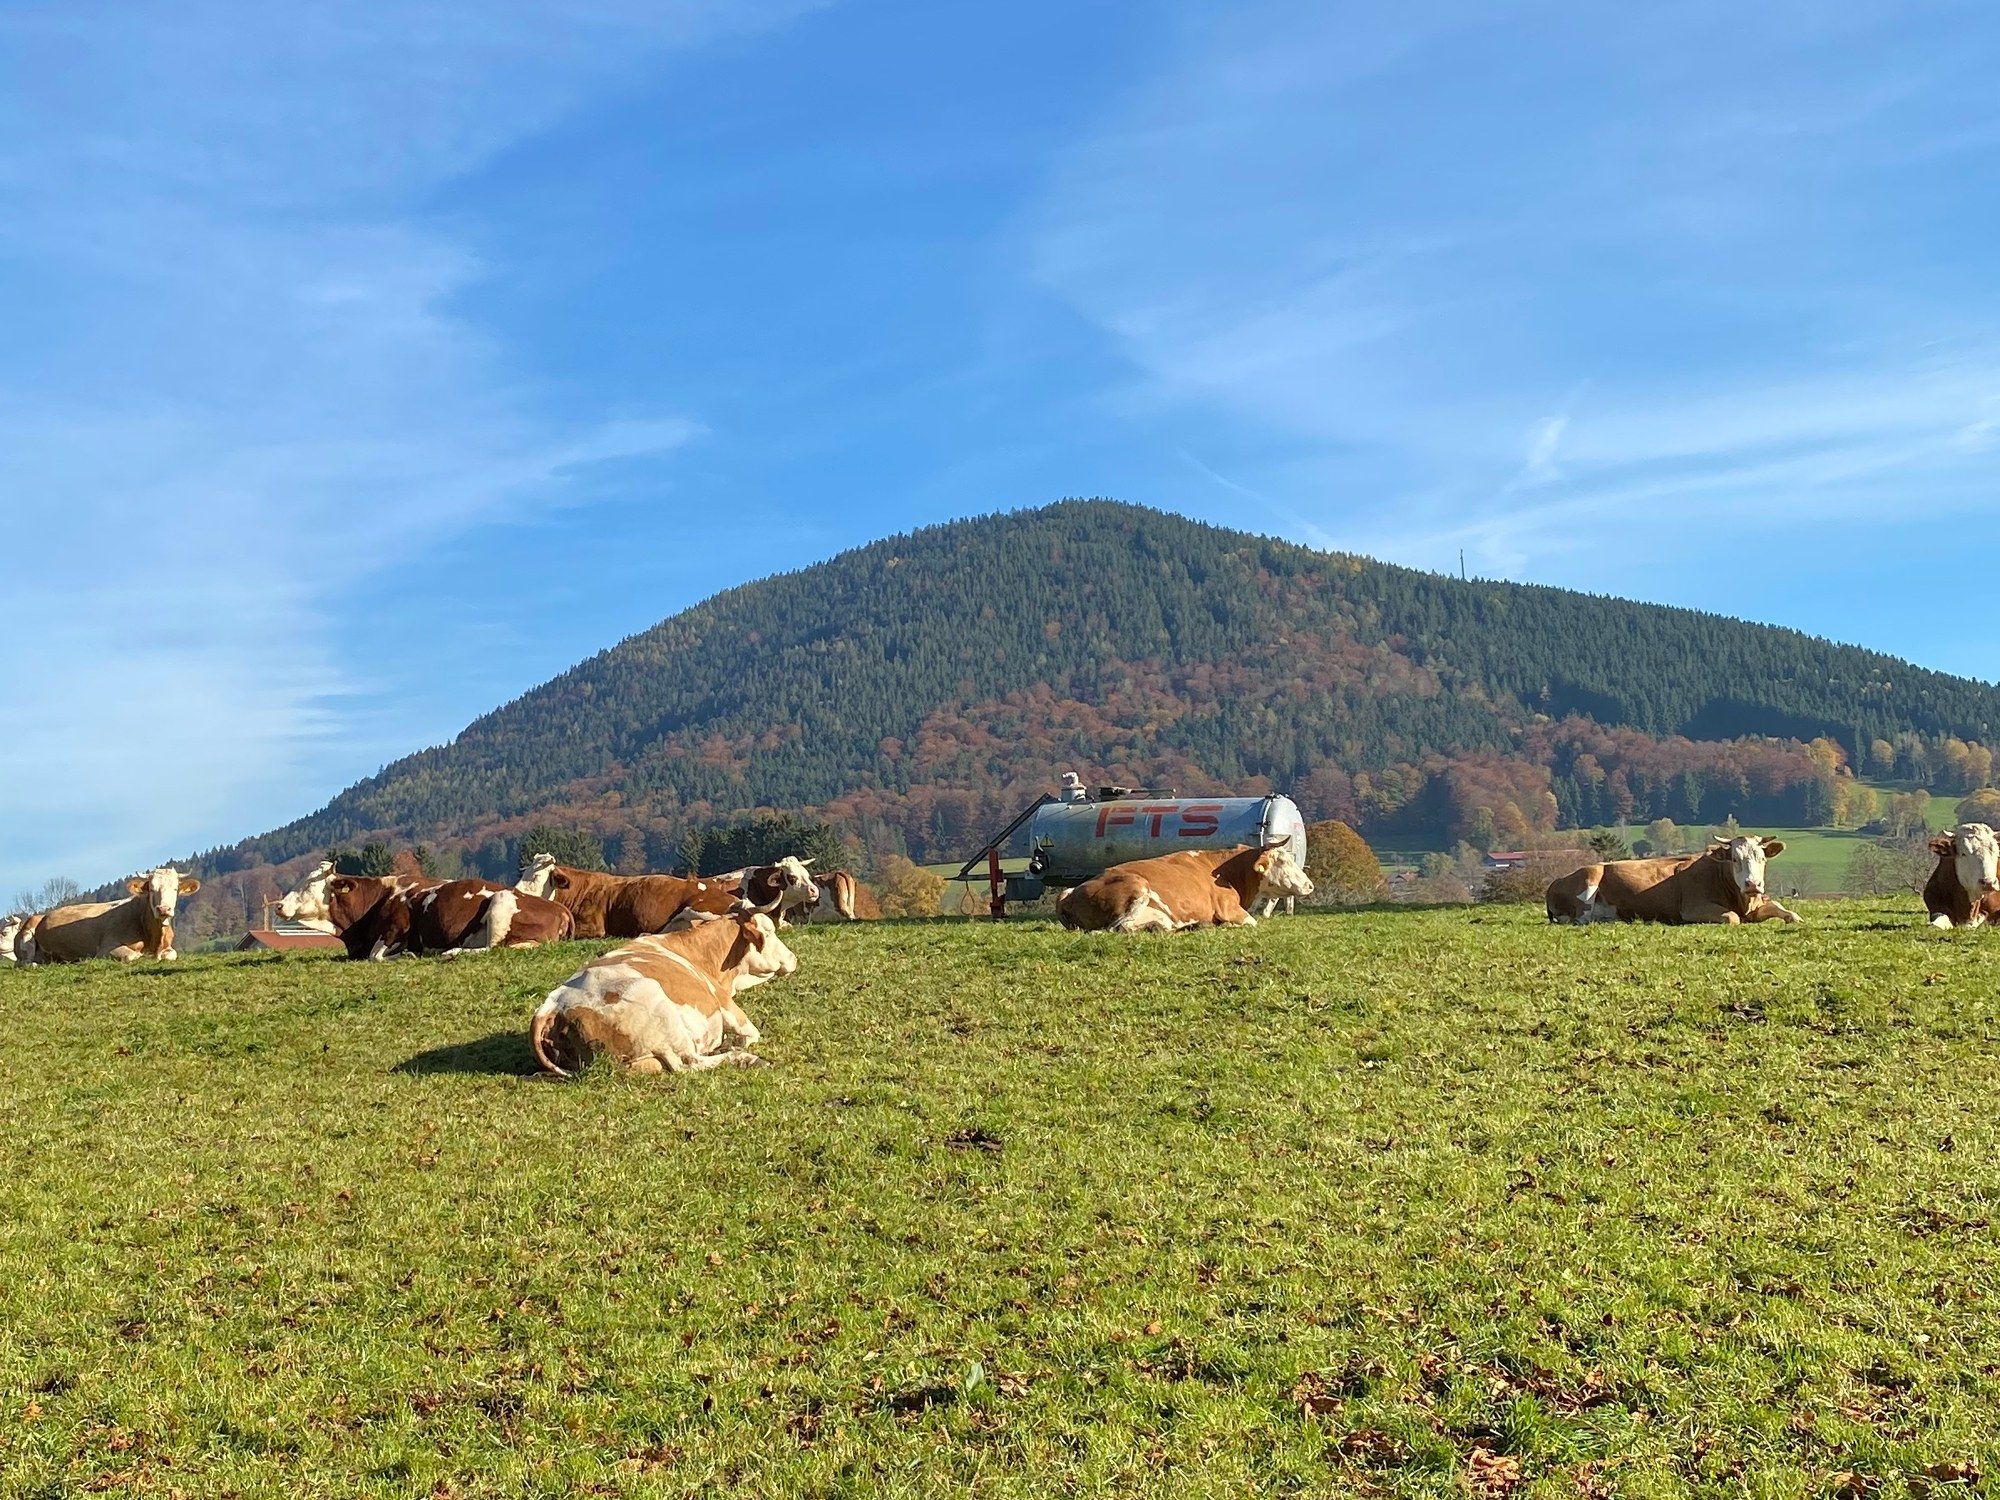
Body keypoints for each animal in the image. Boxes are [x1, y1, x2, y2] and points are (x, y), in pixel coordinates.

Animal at [28, 867, 202, 963]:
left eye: (175, 889)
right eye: (152, 889)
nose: (163, 909)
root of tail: (45, 916)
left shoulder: (168, 947)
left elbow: (171, 954)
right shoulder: (106, 948)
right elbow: (132, 955)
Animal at [529, 910, 798, 1076]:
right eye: (770, 932)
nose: (794, 958)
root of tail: (551, 1007)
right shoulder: (725, 1004)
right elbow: (750, 1034)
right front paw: (735, 1046)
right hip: (662, 1010)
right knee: (689, 1063)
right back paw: (744, 1058)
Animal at [1057, 842, 1315, 932]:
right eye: (1282, 861)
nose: (1310, 885)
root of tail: (1070, 893)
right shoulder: (1231, 909)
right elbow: (1251, 922)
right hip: (1138, 886)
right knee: (1118, 928)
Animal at [1545, 836, 1800, 926]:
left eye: (1762, 859)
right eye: (1735, 859)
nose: (1752, 884)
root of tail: (1556, 881)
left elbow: (1781, 907)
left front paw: (1794, 917)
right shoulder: (1693, 907)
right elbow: (1732, 917)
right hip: (1590, 877)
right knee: (1580, 918)